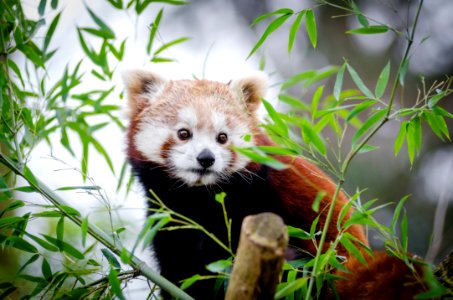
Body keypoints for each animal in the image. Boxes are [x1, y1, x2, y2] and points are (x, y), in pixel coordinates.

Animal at [122, 71, 428, 300]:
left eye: (222, 137)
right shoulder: (169, 217)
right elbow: (182, 269)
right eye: (184, 133)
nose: (206, 158)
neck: (200, 197)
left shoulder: (258, 196)